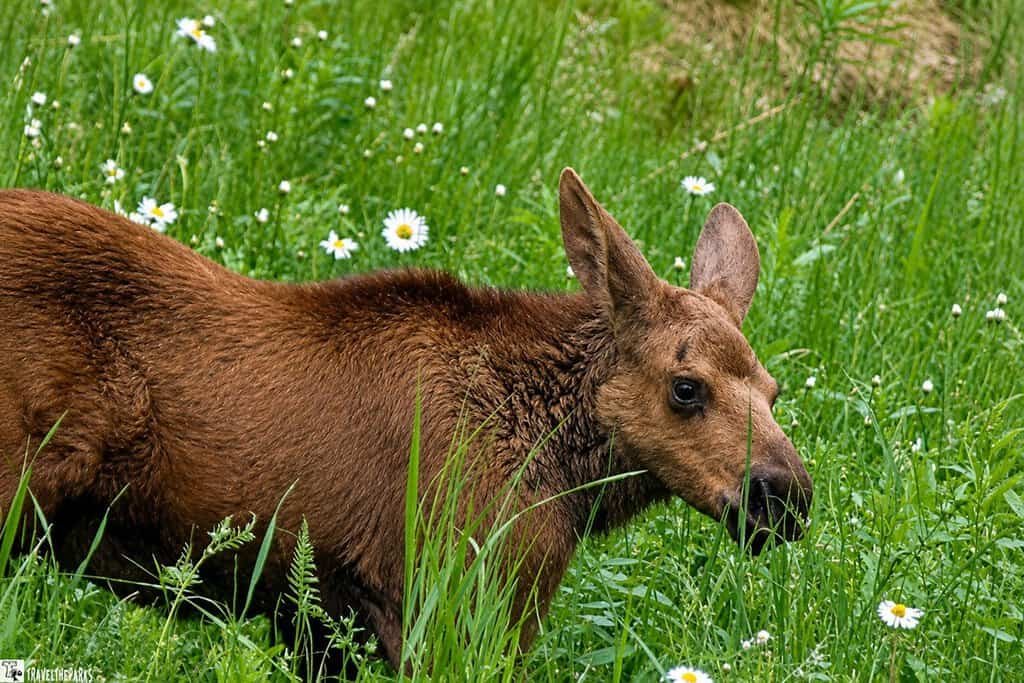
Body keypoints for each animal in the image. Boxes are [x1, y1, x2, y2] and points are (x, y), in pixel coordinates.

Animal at [0, 168, 811, 670]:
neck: (562, 468)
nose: (787, 495)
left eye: (772, 391)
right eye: (686, 388)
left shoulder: (324, 621)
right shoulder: (460, 599)